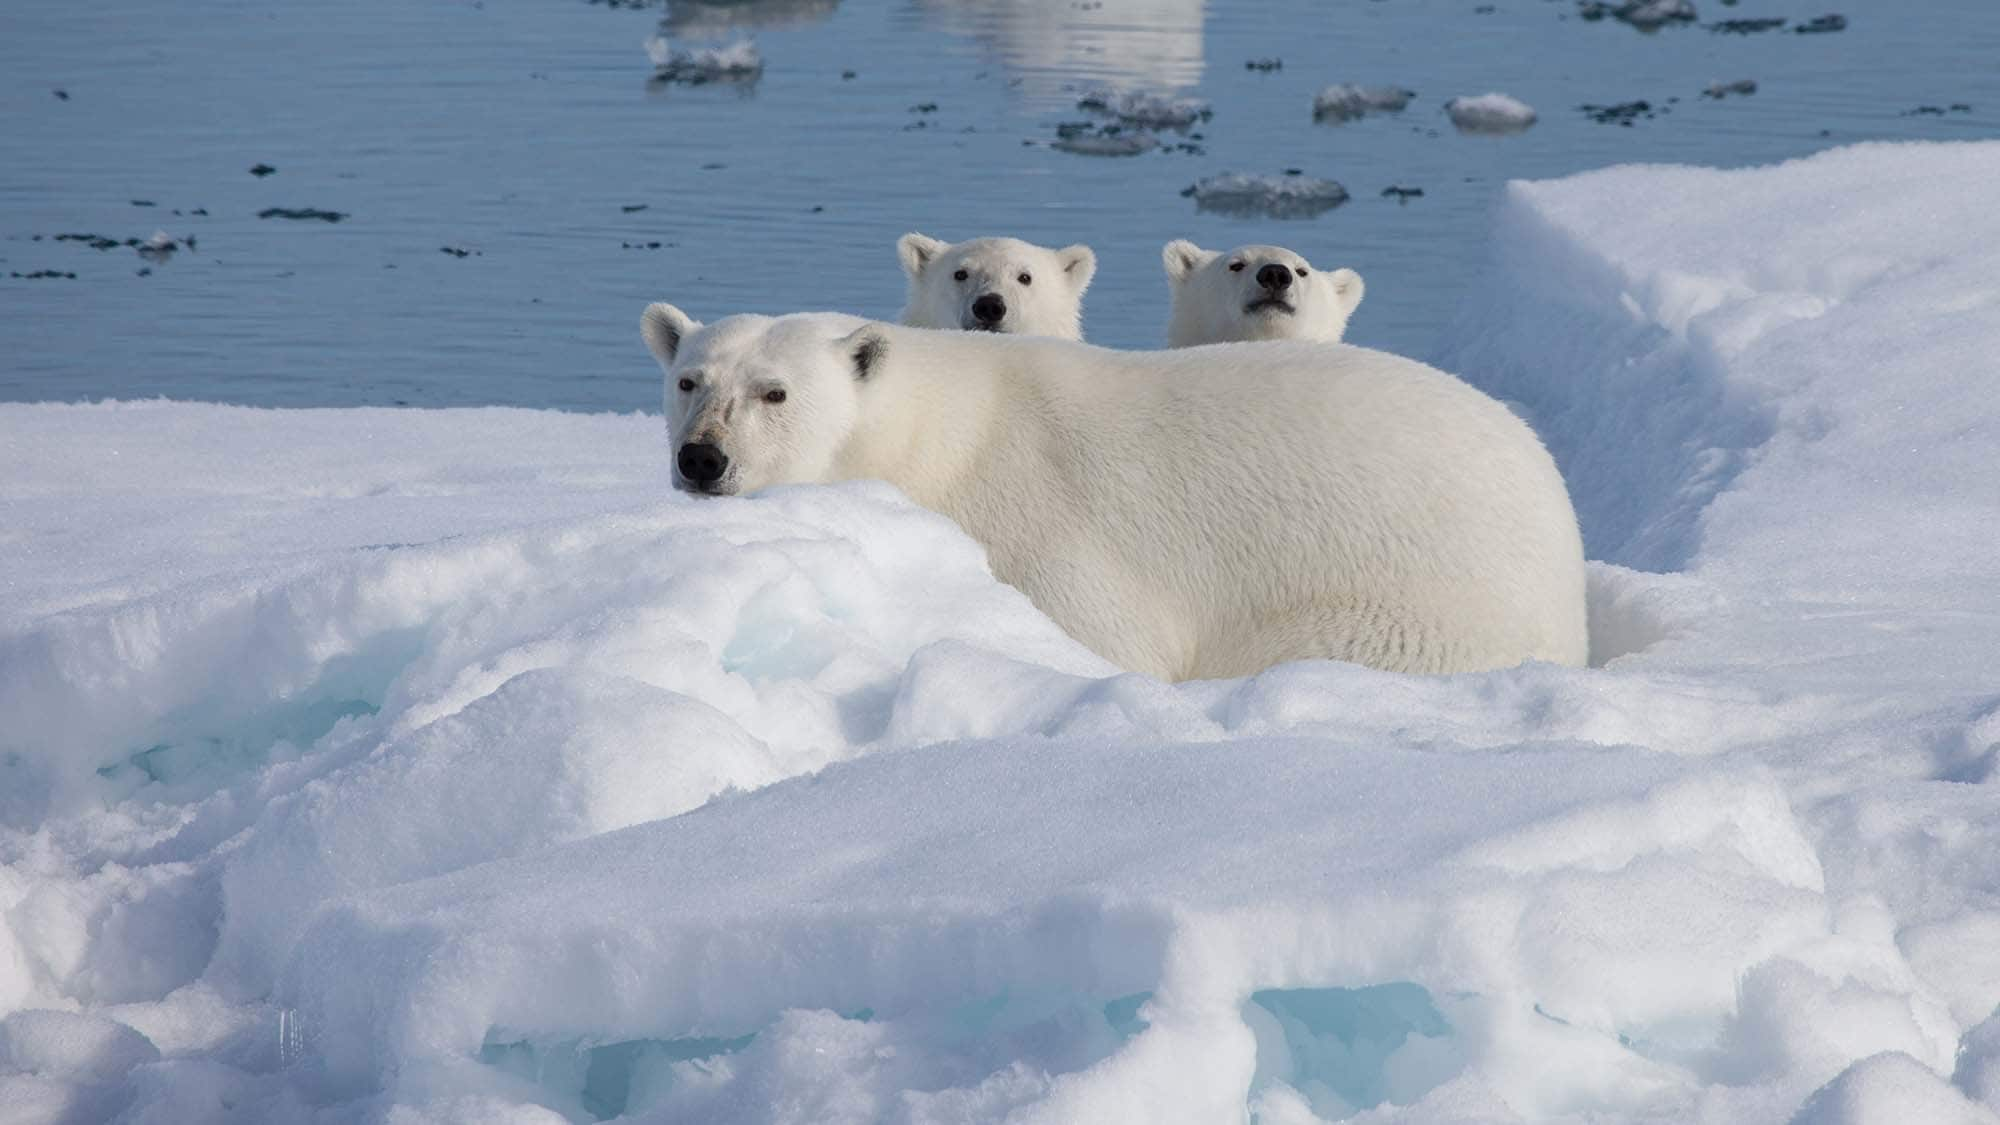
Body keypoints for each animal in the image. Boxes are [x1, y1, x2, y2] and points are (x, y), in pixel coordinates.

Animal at [648, 302, 1584, 680]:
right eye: (690, 379)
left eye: (774, 392)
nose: (703, 460)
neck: (944, 438)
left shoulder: (1040, 523)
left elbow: (1104, 636)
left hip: (1419, 613)